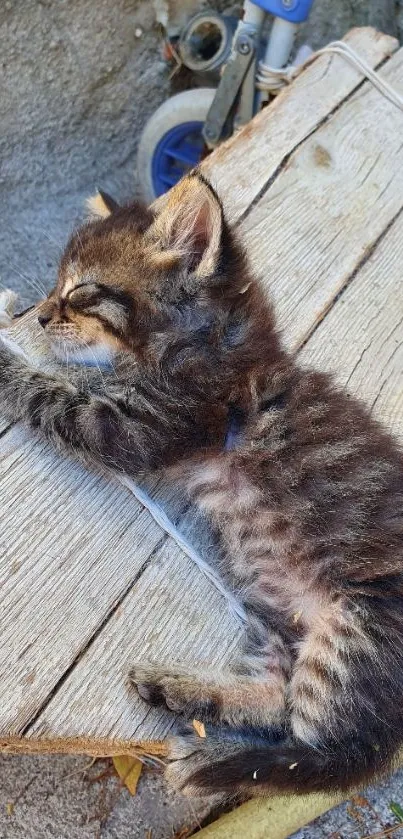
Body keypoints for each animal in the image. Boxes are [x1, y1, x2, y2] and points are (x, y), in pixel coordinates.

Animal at [0, 172, 403, 800]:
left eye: (81, 290)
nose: (40, 316)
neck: (210, 340)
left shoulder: (136, 427)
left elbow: (53, 394)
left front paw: (8, 361)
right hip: (269, 612)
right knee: (276, 699)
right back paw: (180, 689)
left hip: (358, 626)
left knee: (325, 757)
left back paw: (213, 760)